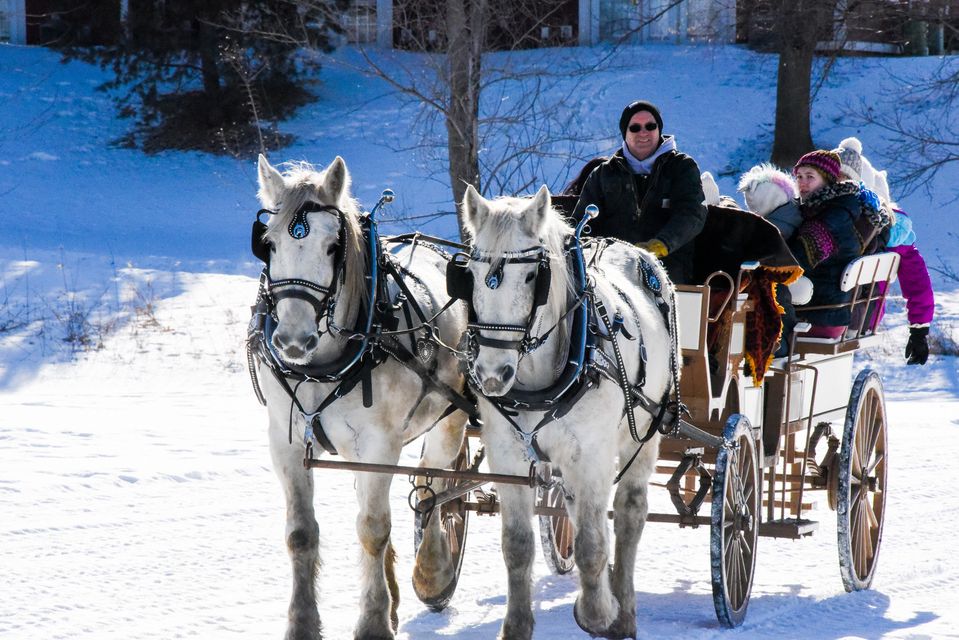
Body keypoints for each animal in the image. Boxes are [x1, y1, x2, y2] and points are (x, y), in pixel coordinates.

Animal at [251, 156, 468, 640]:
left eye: (334, 246)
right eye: (268, 244)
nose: (292, 341)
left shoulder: (380, 444)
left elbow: (372, 529)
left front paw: (372, 623)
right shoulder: (284, 441)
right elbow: (300, 534)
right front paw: (302, 623)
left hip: (450, 418)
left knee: (436, 486)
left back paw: (433, 572)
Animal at [456, 185, 676, 640]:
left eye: (530, 277)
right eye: (470, 274)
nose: (491, 374)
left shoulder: (591, 454)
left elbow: (592, 544)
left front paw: (598, 613)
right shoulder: (508, 455)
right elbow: (517, 546)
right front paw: (516, 625)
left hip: (644, 432)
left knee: (628, 515)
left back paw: (623, 612)